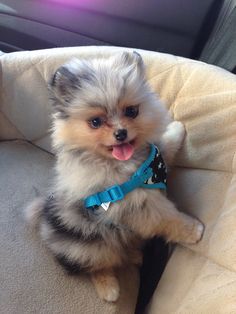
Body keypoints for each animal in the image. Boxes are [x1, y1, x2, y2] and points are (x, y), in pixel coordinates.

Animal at [25, 51, 203, 302]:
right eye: (95, 122)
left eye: (131, 111)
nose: (121, 133)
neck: (128, 165)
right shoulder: (138, 205)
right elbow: (169, 219)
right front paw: (192, 230)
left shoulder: (155, 158)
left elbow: (166, 144)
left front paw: (177, 127)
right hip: (91, 244)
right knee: (98, 264)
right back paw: (108, 287)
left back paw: (135, 254)